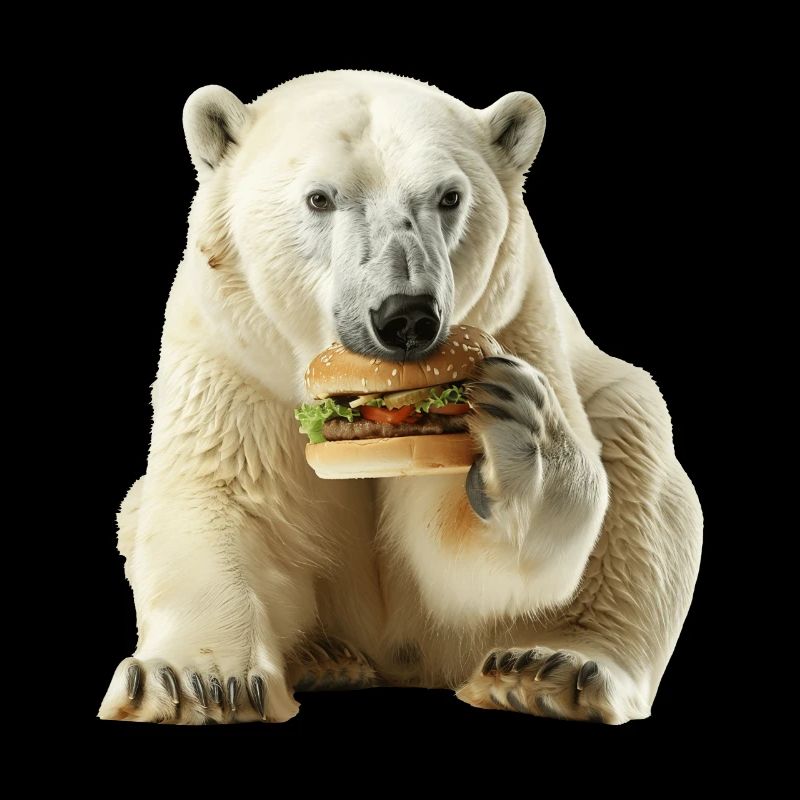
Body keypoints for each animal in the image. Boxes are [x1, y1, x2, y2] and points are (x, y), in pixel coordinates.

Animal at [98, 71, 702, 724]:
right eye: (320, 198)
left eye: (449, 197)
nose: (406, 316)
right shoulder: (235, 356)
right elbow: (223, 496)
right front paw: (197, 685)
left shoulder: (518, 323)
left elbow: (463, 553)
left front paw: (518, 430)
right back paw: (327, 658)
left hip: (620, 407)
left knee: (637, 486)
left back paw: (548, 669)